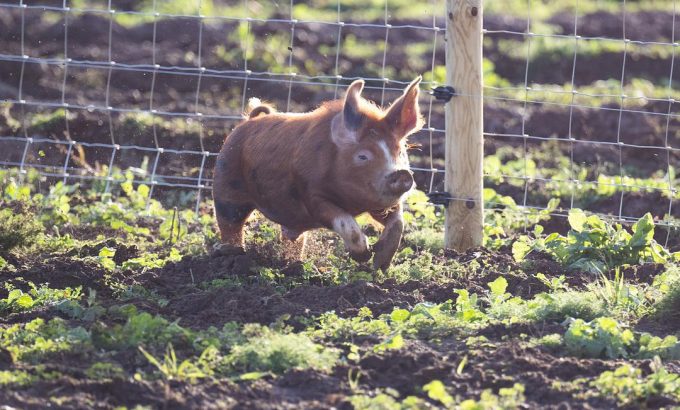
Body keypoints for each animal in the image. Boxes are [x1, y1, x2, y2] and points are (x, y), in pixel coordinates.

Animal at [214, 76, 424, 272]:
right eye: (362, 156)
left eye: (400, 152)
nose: (402, 174)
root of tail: (248, 120)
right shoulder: (312, 195)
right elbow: (345, 221)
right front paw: (362, 256)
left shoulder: (381, 203)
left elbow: (398, 223)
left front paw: (380, 264)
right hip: (226, 185)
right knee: (230, 222)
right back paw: (232, 254)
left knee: (293, 237)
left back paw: (294, 264)